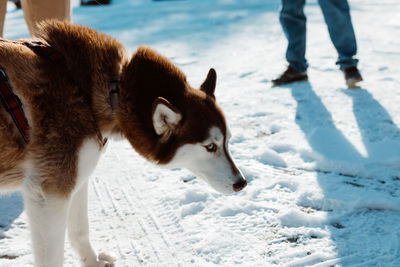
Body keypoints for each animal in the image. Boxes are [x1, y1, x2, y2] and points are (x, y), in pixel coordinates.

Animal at [0, 21, 247, 267]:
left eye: (228, 141)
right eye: (210, 147)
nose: (242, 183)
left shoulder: (76, 177)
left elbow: (80, 231)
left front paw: (92, 262)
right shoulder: (49, 193)